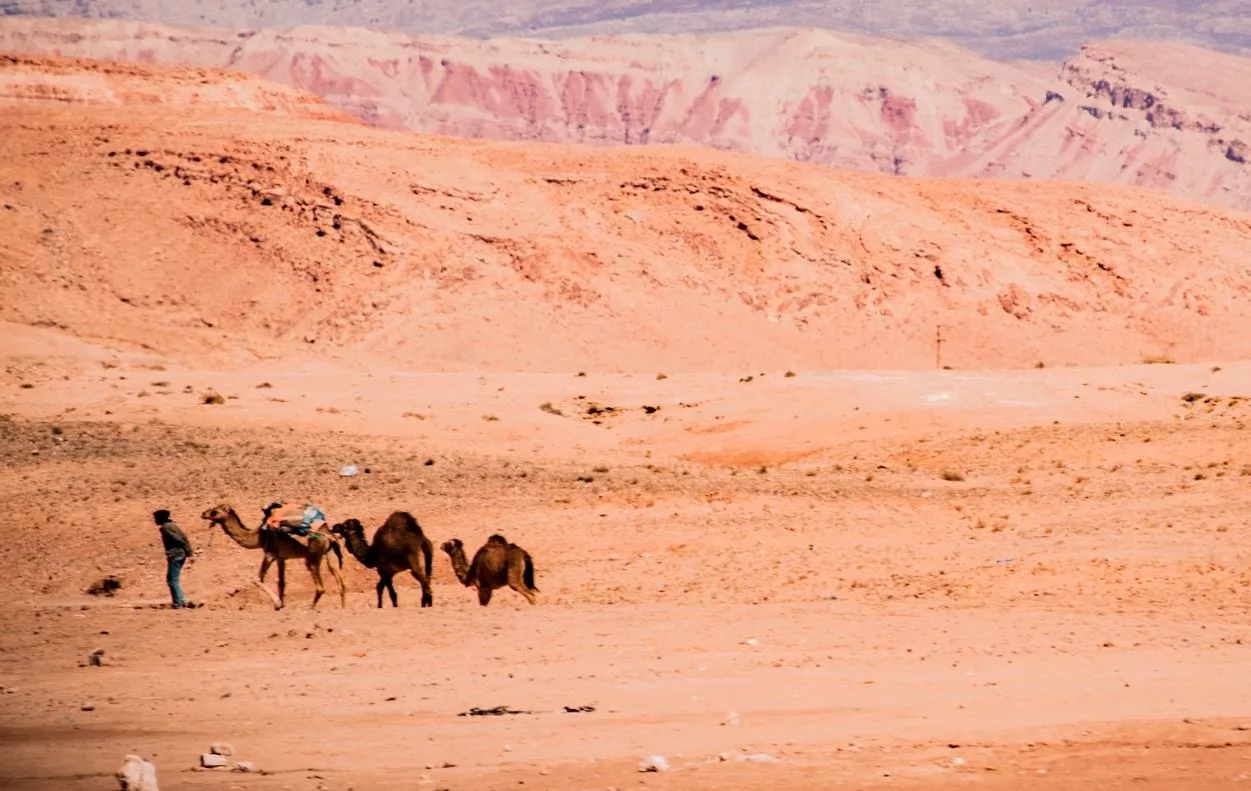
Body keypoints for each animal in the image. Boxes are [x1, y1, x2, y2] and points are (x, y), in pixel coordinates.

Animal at [201, 503, 347, 608]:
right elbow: (281, 583)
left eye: (214, 511)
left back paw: (310, 609)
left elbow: (257, 579)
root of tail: (328, 536)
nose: (203, 513)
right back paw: (342, 608)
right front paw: (281, 605)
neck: (259, 536)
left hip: (312, 557)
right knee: (341, 582)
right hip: (329, 554)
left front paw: (277, 604)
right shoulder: (281, 558)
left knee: (320, 588)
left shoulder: (269, 554)